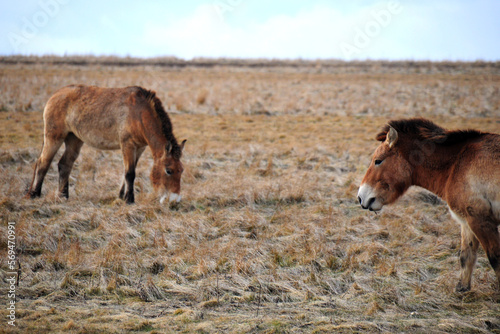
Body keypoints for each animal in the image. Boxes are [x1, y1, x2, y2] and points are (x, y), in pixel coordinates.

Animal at [25, 85, 186, 204]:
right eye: (168, 170)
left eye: (181, 170)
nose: (174, 200)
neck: (139, 113)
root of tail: (55, 95)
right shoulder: (127, 145)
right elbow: (130, 173)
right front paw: (129, 200)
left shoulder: (139, 148)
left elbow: (128, 171)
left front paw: (121, 196)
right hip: (54, 138)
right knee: (43, 163)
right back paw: (34, 194)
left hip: (74, 139)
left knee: (65, 165)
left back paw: (63, 196)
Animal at [360, 118, 500, 290]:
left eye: (378, 161)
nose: (361, 197)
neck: (457, 163)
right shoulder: (467, 221)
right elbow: (466, 256)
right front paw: (461, 290)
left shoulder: (481, 221)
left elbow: (495, 259)